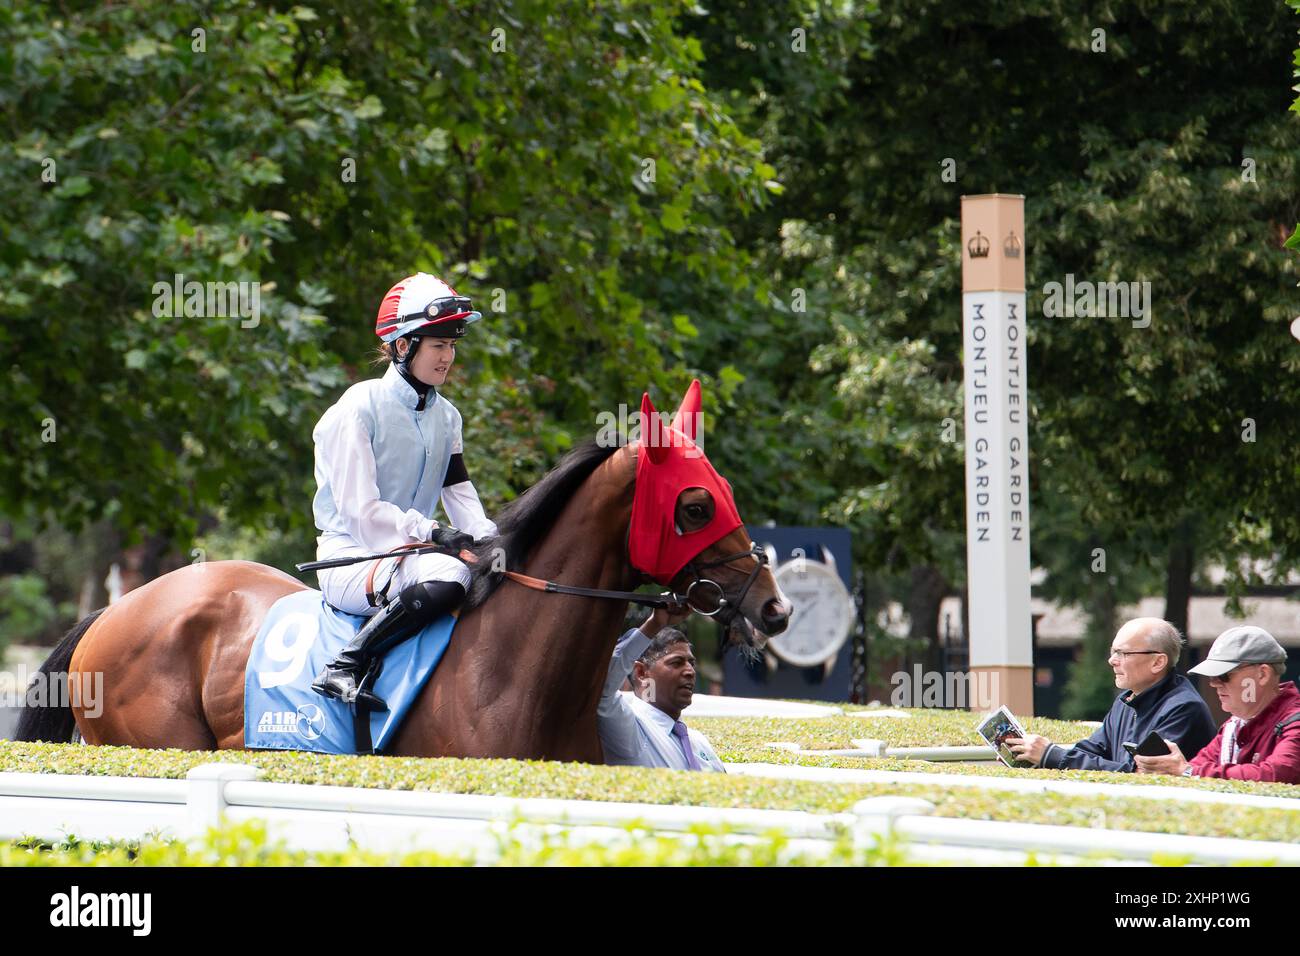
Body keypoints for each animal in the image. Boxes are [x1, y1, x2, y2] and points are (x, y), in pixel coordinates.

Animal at [17, 382, 790, 764]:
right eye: (695, 505)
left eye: (723, 489)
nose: (774, 607)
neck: (512, 672)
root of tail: (117, 609)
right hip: (155, 740)